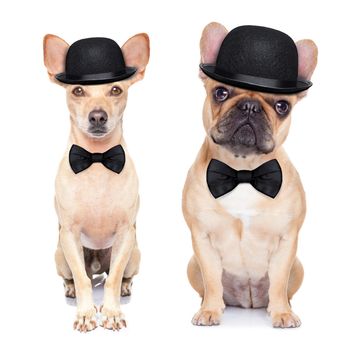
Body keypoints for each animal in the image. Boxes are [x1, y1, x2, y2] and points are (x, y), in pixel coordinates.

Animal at [42, 32, 149, 330]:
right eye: (78, 91)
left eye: (116, 90)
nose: (98, 116)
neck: (98, 158)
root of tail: (97, 266)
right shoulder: (69, 233)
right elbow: (81, 281)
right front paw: (86, 313)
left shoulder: (126, 233)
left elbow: (113, 280)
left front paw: (111, 312)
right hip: (60, 254)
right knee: (80, 277)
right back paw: (70, 288)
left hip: (135, 254)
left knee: (117, 275)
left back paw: (125, 286)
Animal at [183, 22, 318, 328]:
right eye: (220, 93)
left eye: (282, 106)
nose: (250, 106)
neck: (243, 170)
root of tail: (248, 302)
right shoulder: (202, 239)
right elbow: (212, 279)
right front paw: (210, 310)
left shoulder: (286, 241)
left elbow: (278, 283)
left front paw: (282, 313)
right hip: (192, 265)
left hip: (299, 267)